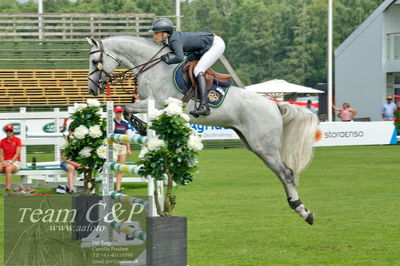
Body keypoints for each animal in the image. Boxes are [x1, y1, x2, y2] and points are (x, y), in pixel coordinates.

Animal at [86, 35, 318, 224]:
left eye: (94, 61)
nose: (92, 89)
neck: (153, 67)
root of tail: (274, 105)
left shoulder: (157, 103)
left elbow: (127, 108)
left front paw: (142, 127)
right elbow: (126, 110)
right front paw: (142, 127)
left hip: (264, 147)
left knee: (286, 173)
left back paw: (303, 211)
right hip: (253, 144)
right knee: (282, 173)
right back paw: (297, 206)